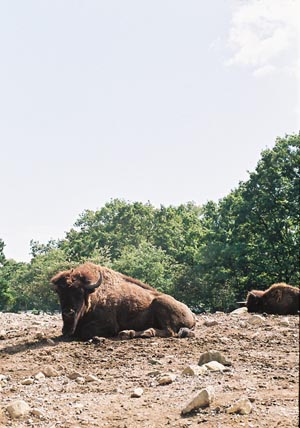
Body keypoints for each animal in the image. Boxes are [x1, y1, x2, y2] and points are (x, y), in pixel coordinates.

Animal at [50, 260, 196, 342]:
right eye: (60, 293)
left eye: (80, 293)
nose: (68, 312)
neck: (93, 295)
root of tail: (191, 314)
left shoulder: (109, 324)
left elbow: (86, 331)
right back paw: (128, 333)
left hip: (160, 303)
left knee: (169, 331)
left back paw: (138, 332)